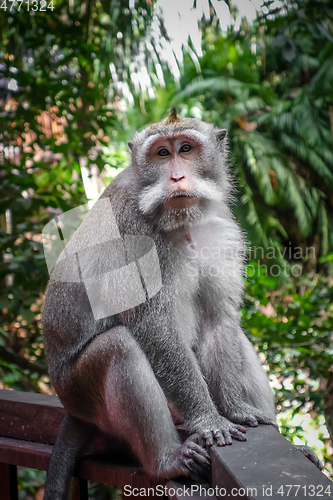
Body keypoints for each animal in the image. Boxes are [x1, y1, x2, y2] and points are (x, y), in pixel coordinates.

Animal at [41, 110, 322, 500]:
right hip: (78, 390)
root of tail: (71, 408)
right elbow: (153, 328)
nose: (176, 176)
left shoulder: (221, 229)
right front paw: (209, 420)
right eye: (162, 154)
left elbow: (219, 318)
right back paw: (167, 461)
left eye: (185, 149)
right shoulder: (130, 230)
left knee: (234, 337)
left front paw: (235, 411)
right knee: (118, 347)